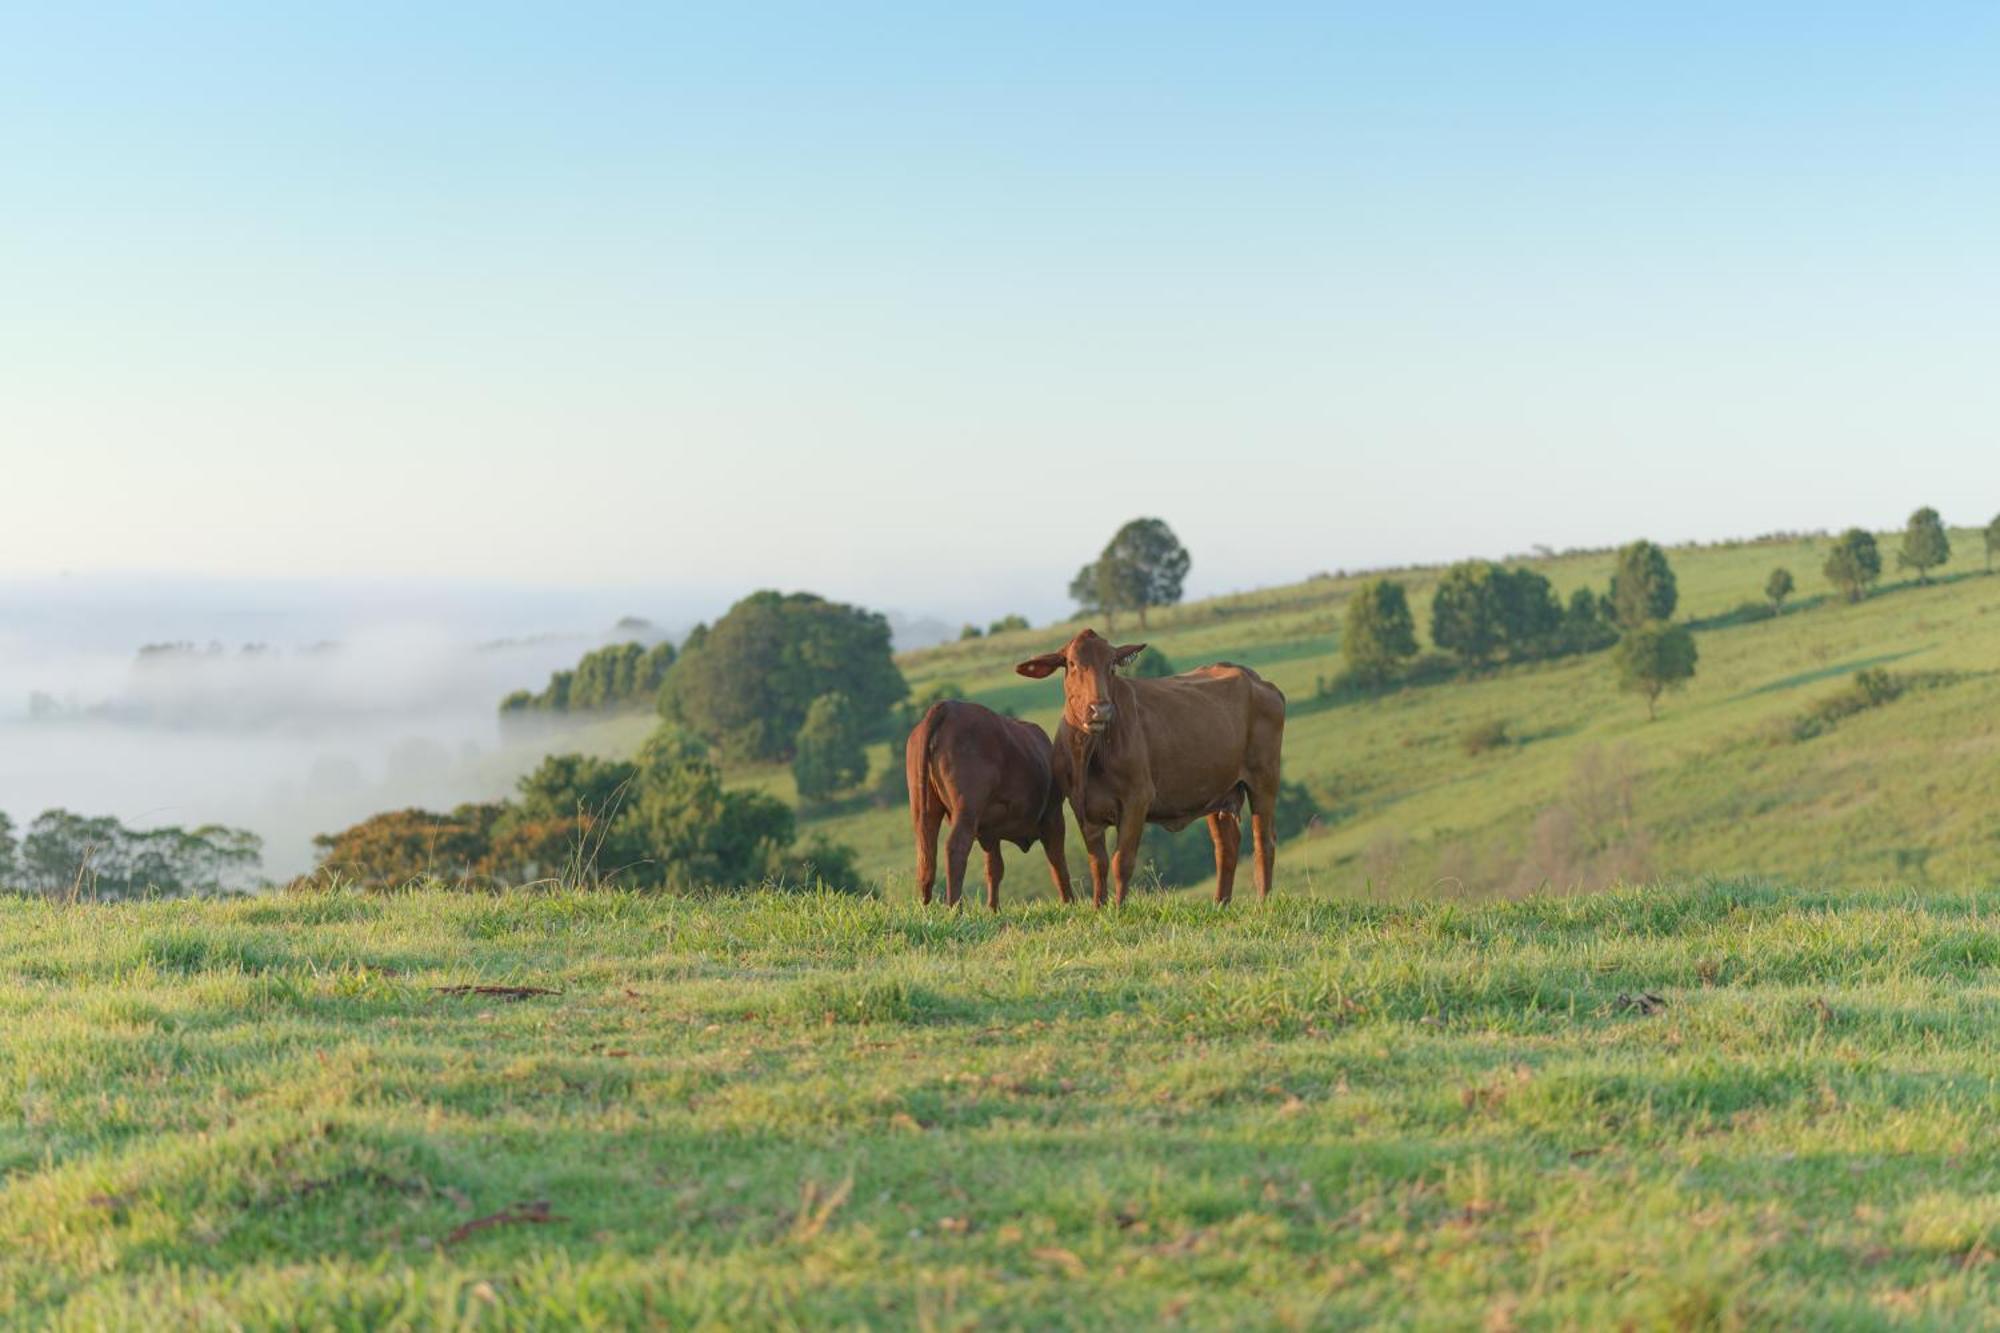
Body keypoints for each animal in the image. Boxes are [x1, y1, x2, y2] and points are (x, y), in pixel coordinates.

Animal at [908, 696, 1072, 904]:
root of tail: (949, 706)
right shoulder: (1053, 815)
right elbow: (1058, 864)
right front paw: (1070, 902)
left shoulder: (990, 832)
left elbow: (994, 869)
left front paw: (993, 908)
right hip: (967, 810)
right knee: (955, 849)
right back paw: (955, 907)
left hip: (925, 809)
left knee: (925, 856)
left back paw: (926, 906)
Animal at [1016, 624, 1280, 904]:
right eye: (1073, 663)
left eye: (1112, 666)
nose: (1100, 709)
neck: (1089, 754)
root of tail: (1252, 677)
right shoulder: (1082, 808)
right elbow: (1098, 863)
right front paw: (1099, 906)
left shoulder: (1137, 799)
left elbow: (1122, 862)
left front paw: (1118, 908)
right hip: (1218, 791)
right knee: (1226, 847)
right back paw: (1220, 904)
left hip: (1264, 779)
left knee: (1264, 841)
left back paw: (1263, 902)